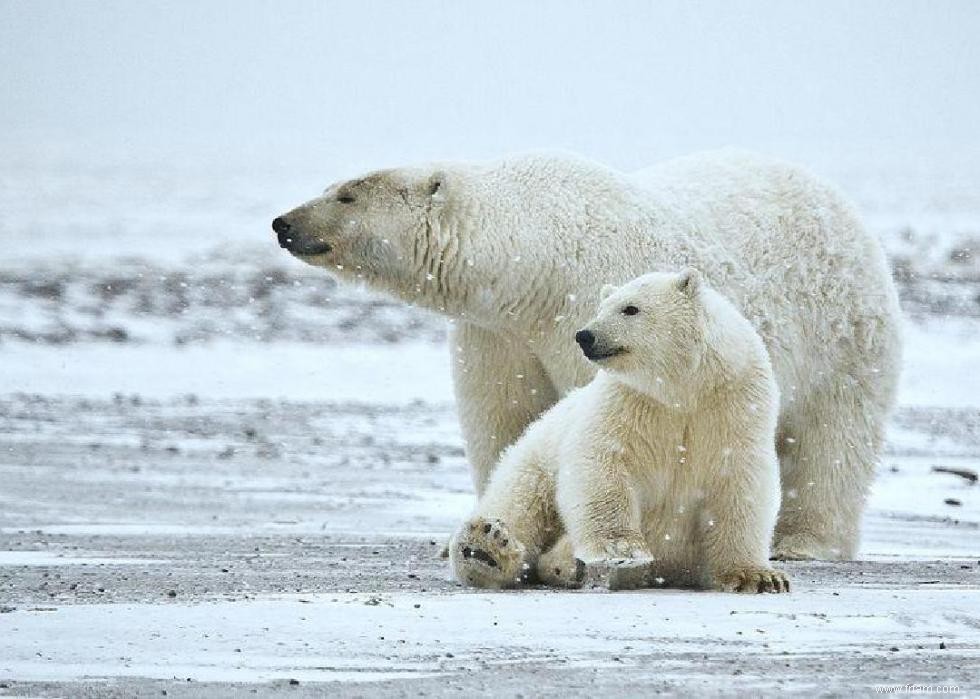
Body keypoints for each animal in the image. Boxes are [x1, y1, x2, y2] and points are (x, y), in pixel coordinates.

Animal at [272, 150, 900, 560]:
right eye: (333, 184)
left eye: (347, 193)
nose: (282, 223)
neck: (535, 261)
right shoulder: (499, 332)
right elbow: (506, 420)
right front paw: (490, 529)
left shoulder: (586, 307)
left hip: (843, 336)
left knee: (832, 441)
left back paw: (804, 542)